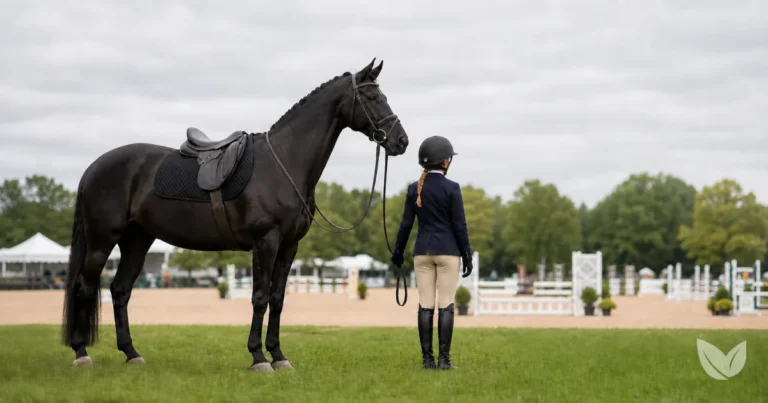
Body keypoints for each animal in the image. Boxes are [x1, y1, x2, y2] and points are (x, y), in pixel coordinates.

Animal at [61, 59, 409, 371]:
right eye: (372, 97)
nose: (401, 141)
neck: (285, 163)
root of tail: (93, 169)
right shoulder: (266, 242)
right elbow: (259, 297)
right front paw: (258, 357)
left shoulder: (289, 246)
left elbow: (277, 299)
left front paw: (278, 355)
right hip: (102, 241)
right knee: (84, 288)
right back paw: (81, 353)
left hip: (137, 241)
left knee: (120, 291)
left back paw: (131, 353)